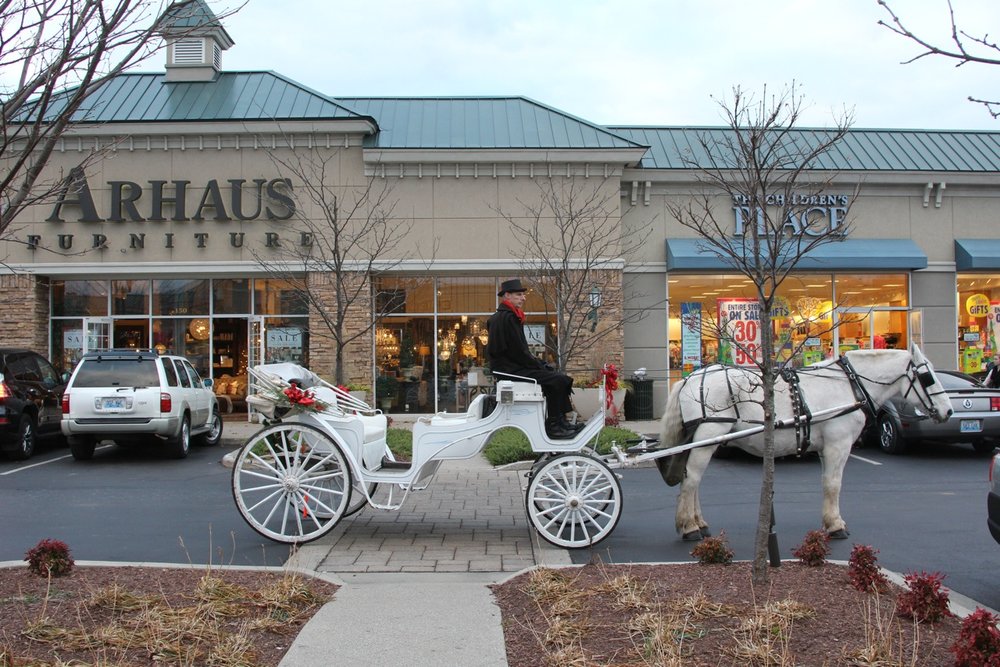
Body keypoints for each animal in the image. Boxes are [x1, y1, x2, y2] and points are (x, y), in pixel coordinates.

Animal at [656, 348, 952, 540]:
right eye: (927, 376)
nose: (948, 411)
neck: (849, 384)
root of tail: (690, 378)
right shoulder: (838, 445)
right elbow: (833, 484)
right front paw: (836, 525)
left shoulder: (825, 447)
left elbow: (826, 483)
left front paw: (830, 521)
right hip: (709, 432)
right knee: (692, 479)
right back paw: (689, 527)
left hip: (704, 438)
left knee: (691, 480)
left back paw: (699, 523)